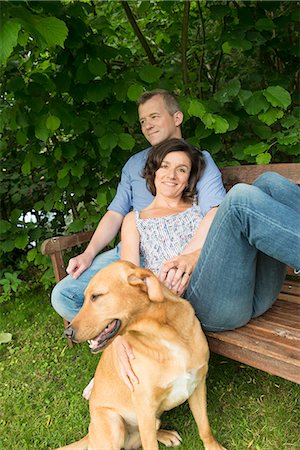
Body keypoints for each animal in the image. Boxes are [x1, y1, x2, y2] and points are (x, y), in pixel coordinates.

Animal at [55, 260, 225, 450]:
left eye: (96, 296)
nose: (67, 332)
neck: (165, 335)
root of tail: (90, 435)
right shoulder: (145, 408)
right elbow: (150, 444)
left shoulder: (197, 385)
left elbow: (205, 428)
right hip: (115, 424)